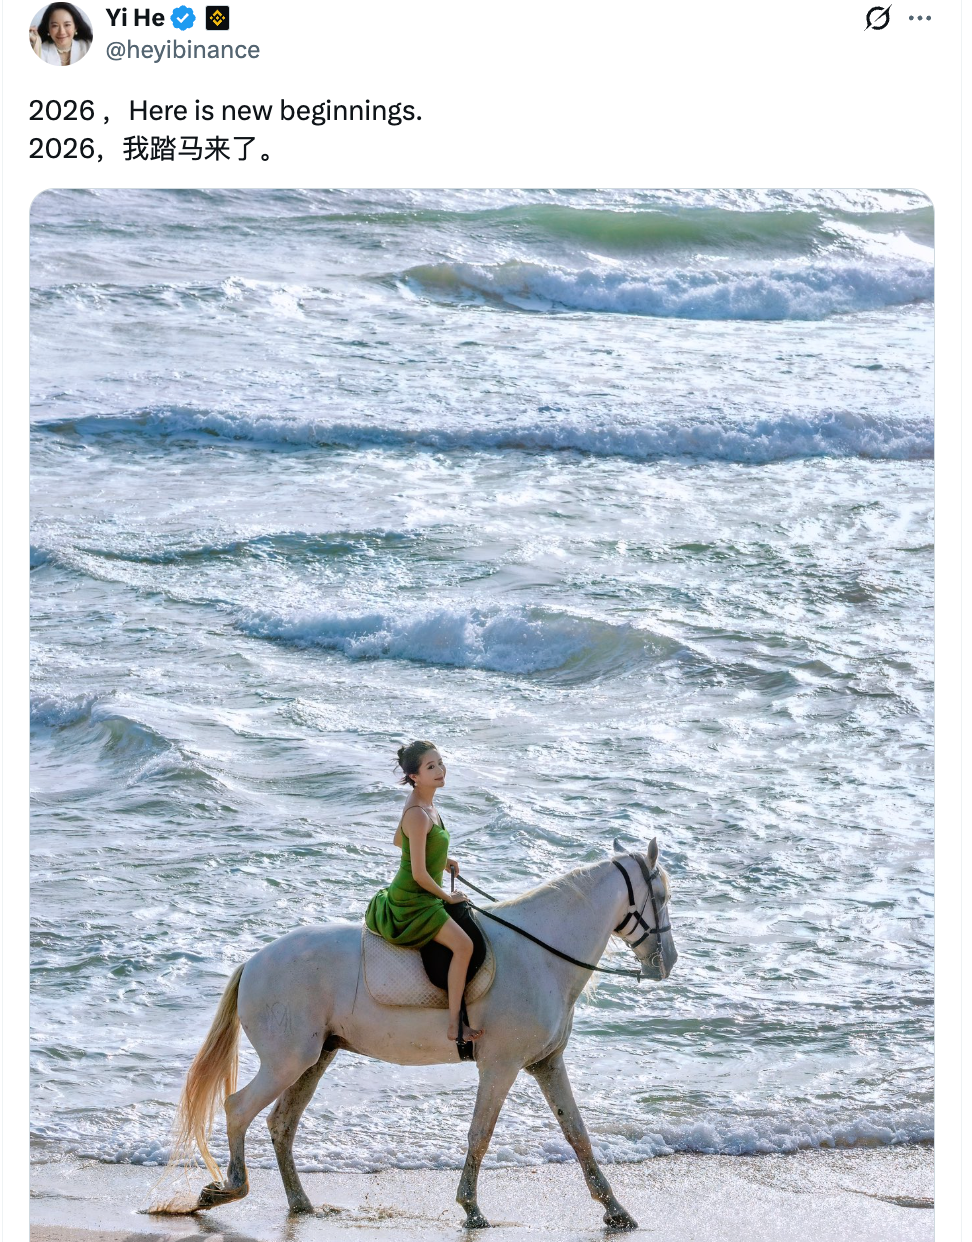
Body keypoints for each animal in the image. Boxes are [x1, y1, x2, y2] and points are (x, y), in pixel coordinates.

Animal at [160, 837, 677, 1230]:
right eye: (663, 897)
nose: (667, 963)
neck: (542, 952)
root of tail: (252, 963)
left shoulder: (546, 1064)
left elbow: (577, 1134)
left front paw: (615, 1210)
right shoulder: (502, 1065)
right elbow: (480, 1134)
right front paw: (471, 1208)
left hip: (316, 1058)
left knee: (281, 1124)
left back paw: (300, 1204)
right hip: (288, 1061)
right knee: (238, 1109)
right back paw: (227, 1189)